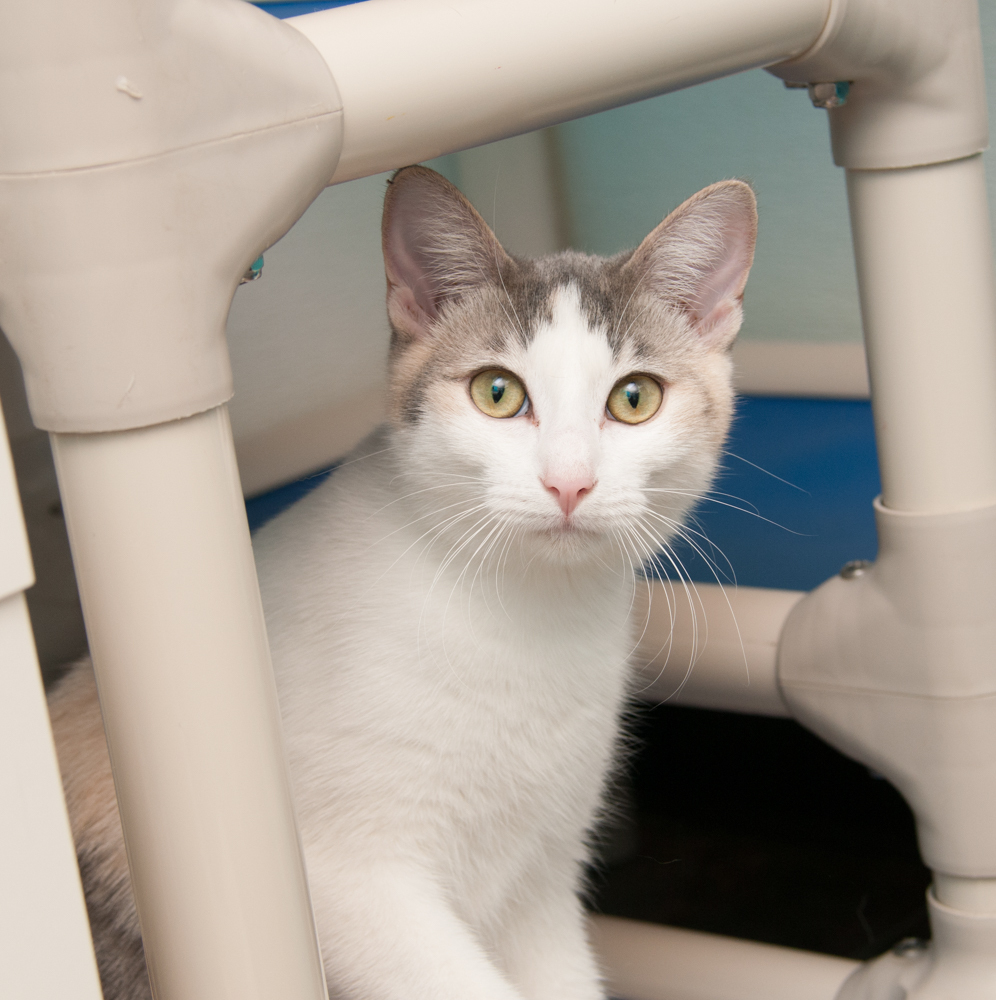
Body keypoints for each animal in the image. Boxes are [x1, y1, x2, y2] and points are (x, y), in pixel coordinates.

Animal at [44, 166, 756, 1000]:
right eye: (496, 393)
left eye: (634, 398)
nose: (569, 483)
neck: (528, 624)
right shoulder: (354, 885)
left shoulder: (542, 887)